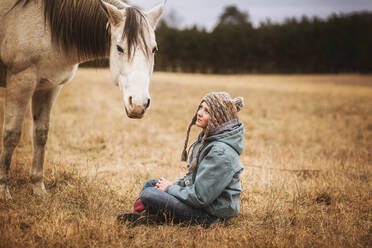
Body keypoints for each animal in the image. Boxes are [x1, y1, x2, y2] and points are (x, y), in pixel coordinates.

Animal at [0, 0, 166, 200]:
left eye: (154, 49)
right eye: (119, 48)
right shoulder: (20, 81)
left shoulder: (49, 87)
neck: (49, 25)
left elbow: (40, 134)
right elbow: (11, 134)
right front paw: (3, 192)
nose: (139, 105)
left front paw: (38, 189)